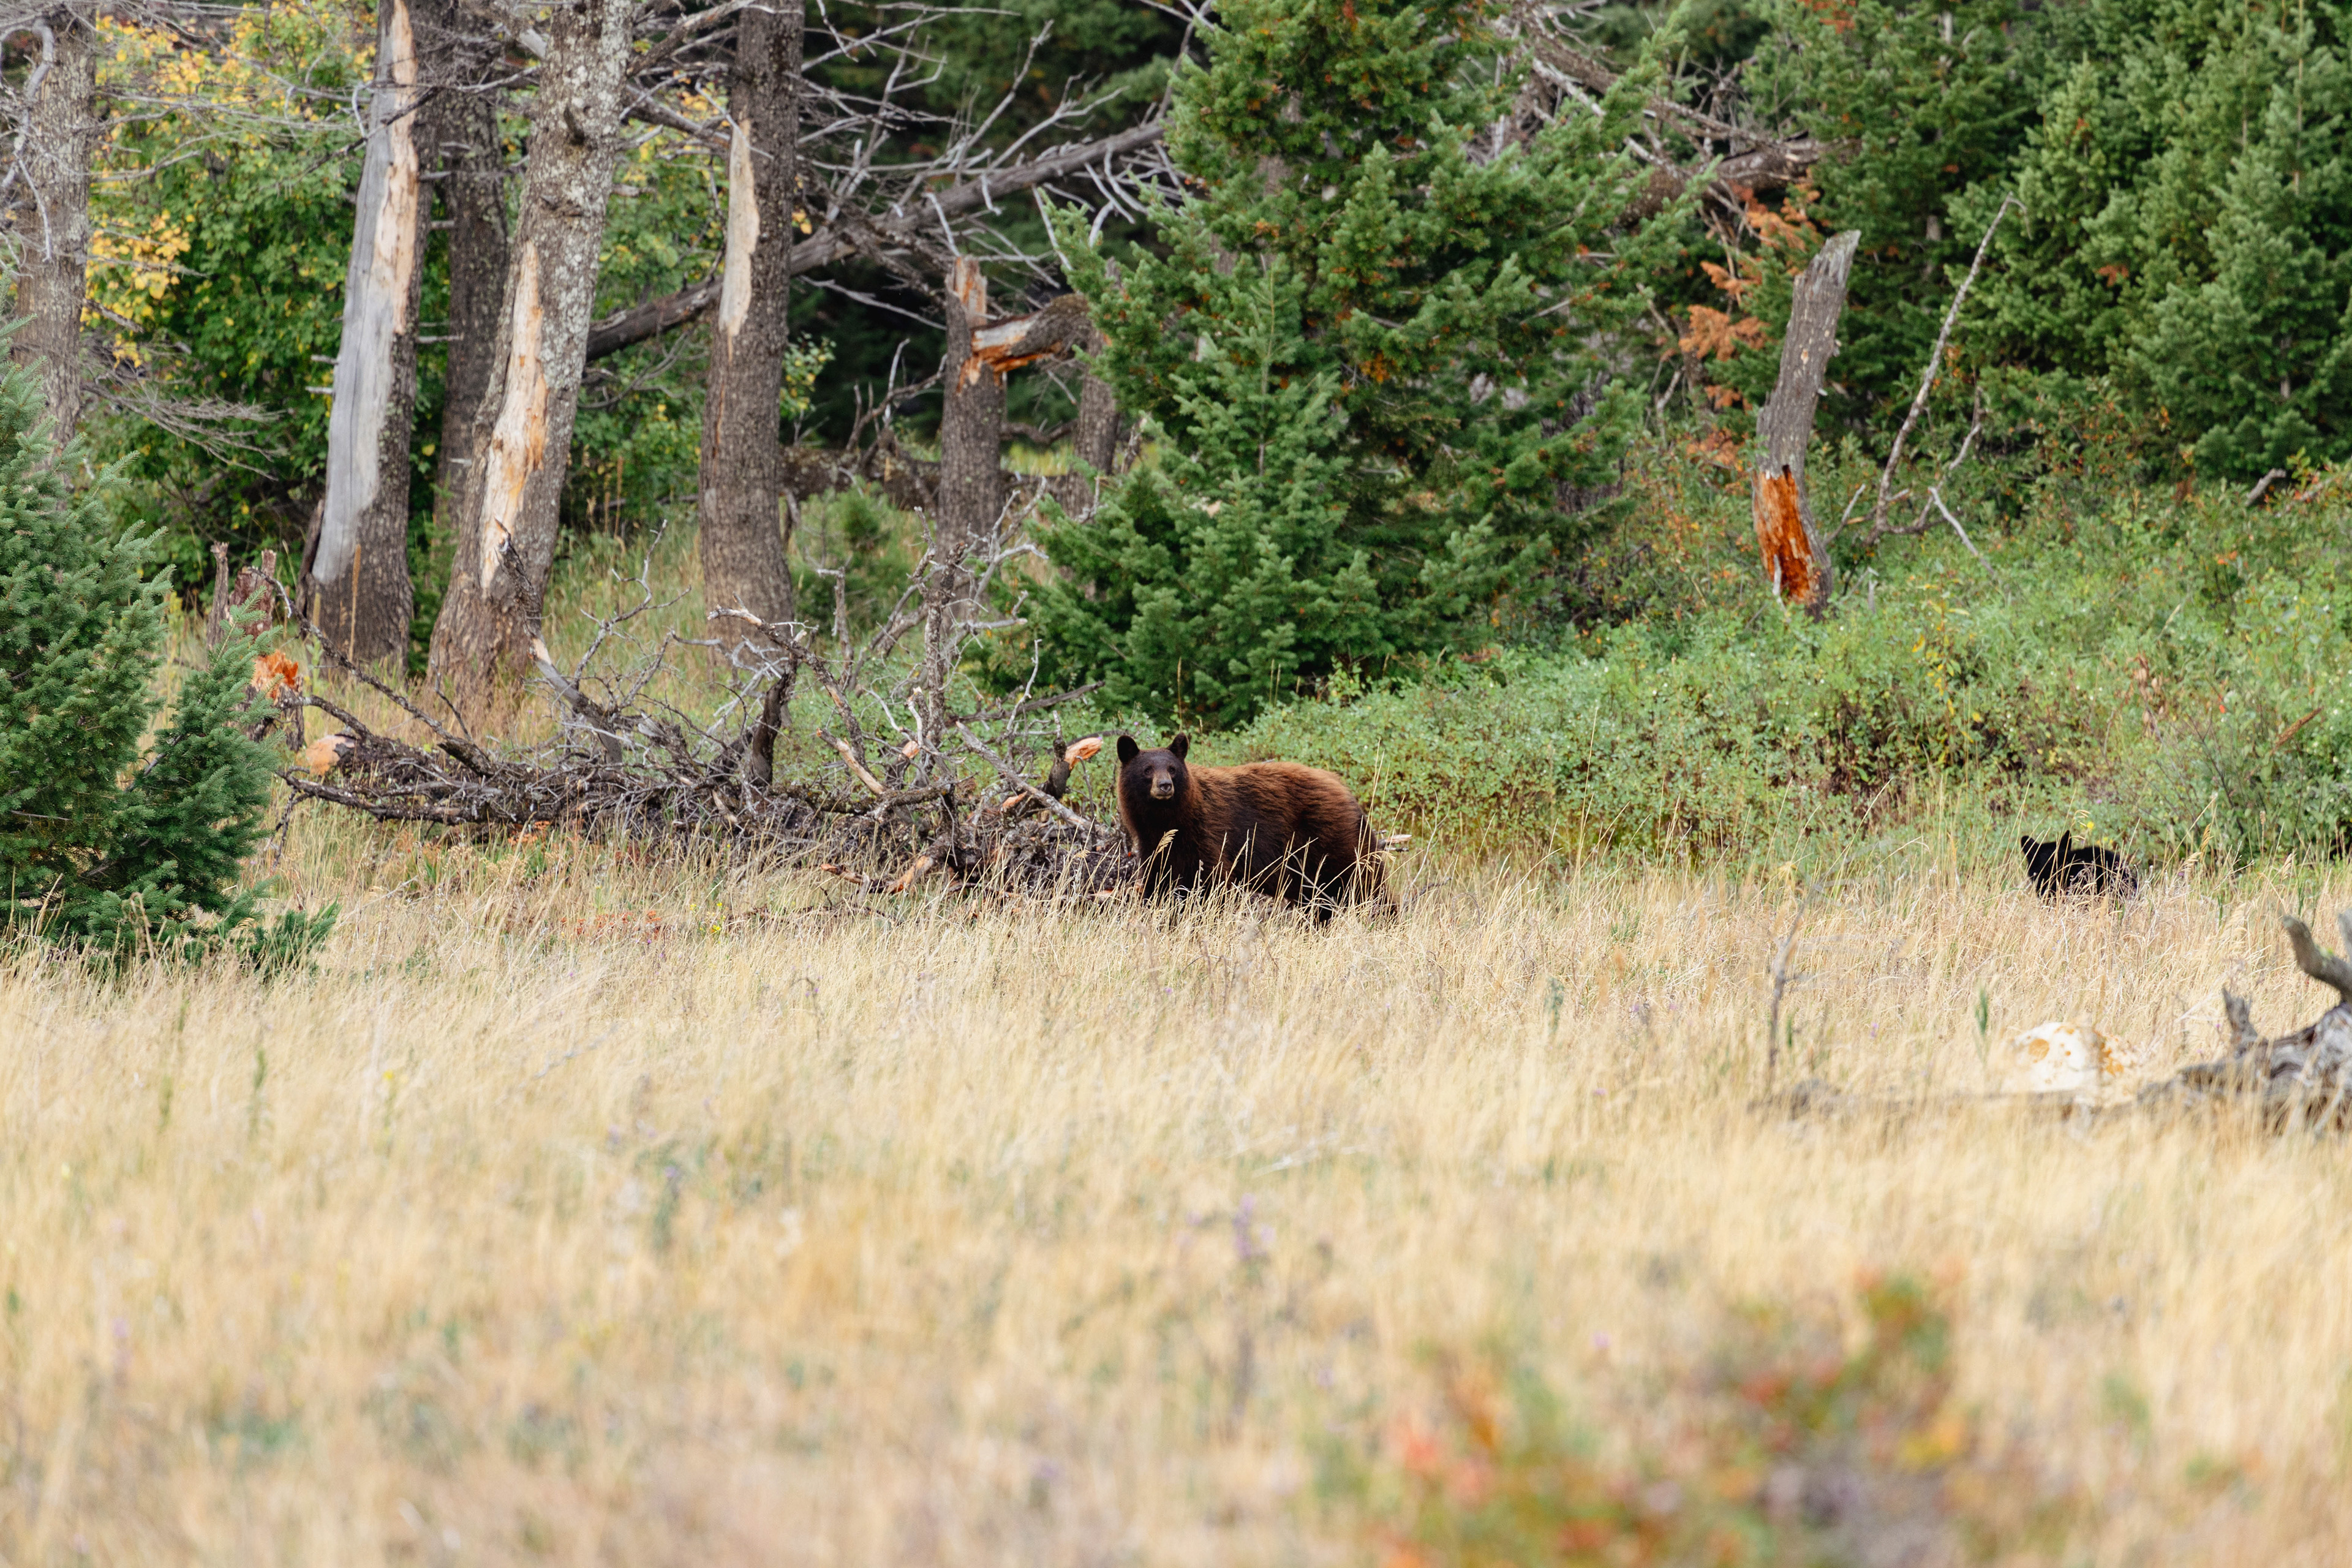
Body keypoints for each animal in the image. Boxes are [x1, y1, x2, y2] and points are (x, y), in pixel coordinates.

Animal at [1114, 733, 1383, 915]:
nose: (1165, 786)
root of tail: (1346, 791)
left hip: (1332, 842)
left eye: (1172, 768)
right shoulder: (1155, 848)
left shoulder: (1208, 836)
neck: (1169, 820)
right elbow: (1157, 885)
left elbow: (1213, 884)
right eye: (1147, 769)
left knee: (1365, 884)